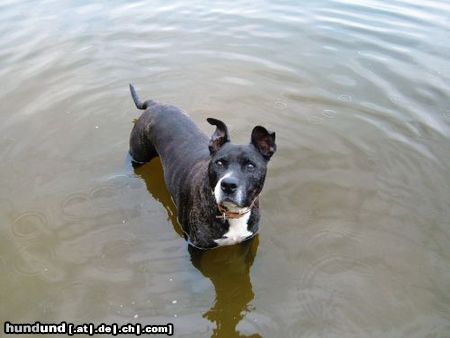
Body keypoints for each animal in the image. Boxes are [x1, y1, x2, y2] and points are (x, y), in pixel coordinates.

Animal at [128, 84, 276, 248]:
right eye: (219, 163)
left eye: (250, 166)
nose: (228, 185)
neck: (232, 214)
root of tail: (155, 104)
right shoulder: (197, 247)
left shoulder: (248, 241)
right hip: (139, 155)